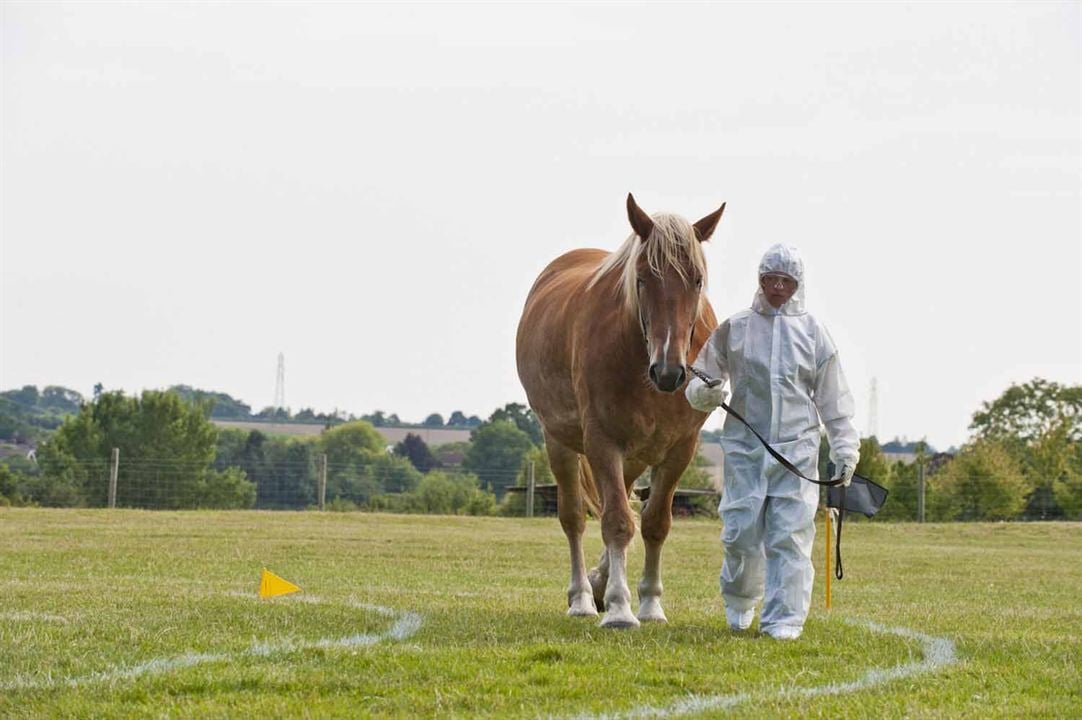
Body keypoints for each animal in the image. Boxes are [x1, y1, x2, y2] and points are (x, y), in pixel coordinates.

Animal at [517, 193, 727, 627]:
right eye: (643, 277)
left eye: (697, 279)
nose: (669, 371)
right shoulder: (602, 441)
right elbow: (615, 522)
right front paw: (618, 607)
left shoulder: (680, 449)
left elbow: (654, 523)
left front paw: (650, 604)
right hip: (560, 442)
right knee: (575, 517)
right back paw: (583, 597)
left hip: (631, 458)